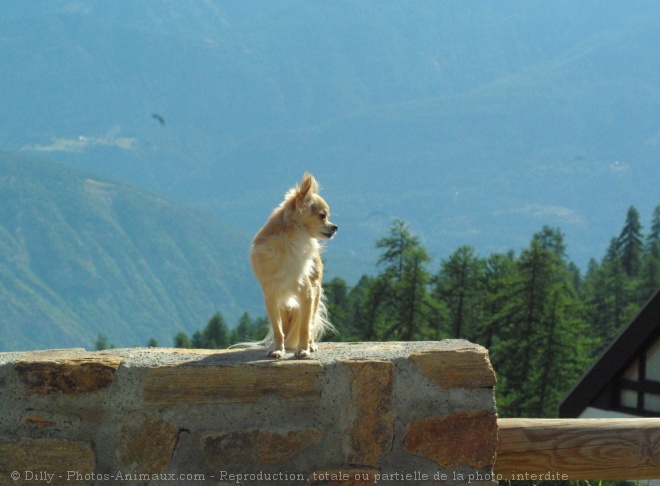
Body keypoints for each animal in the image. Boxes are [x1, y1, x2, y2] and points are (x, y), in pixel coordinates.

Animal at [250, 173, 338, 358]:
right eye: (322, 216)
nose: (335, 227)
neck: (292, 242)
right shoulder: (271, 298)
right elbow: (278, 329)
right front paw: (277, 349)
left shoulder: (307, 295)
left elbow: (305, 327)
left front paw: (303, 349)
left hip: (316, 293)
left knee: (310, 322)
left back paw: (310, 345)